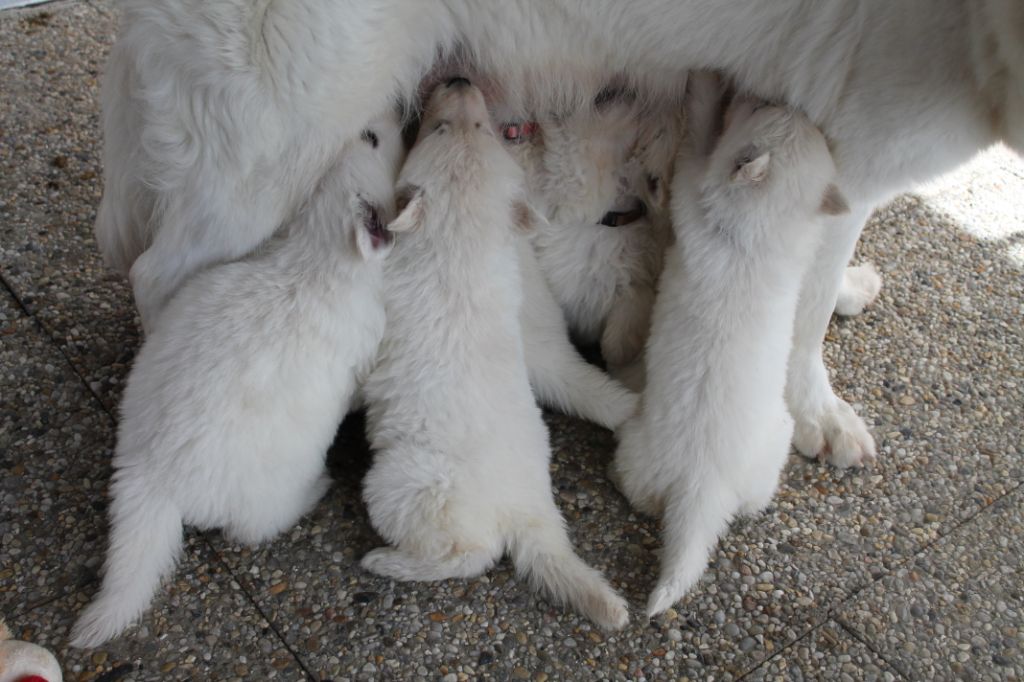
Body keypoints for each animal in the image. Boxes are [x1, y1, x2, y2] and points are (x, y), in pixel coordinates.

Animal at [68, 109, 401, 647]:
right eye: (372, 138)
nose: (392, 115)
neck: (313, 256)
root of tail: (155, 479)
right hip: (267, 495)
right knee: (255, 528)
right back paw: (317, 489)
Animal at [92, 0, 1019, 471]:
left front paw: (852, 289)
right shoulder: (854, 145)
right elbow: (805, 313)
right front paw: (816, 411)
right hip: (278, 142)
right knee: (160, 274)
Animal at [360, 82, 630, 630]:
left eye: (438, 128)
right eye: (477, 128)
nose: (460, 80)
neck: (462, 238)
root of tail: (529, 513)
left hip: (399, 485)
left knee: (470, 555)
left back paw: (386, 562)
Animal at [610, 74, 851, 614]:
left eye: (759, 108)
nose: (785, 99)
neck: (752, 235)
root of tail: (702, 488)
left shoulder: (692, 187)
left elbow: (700, 136)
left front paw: (705, 84)